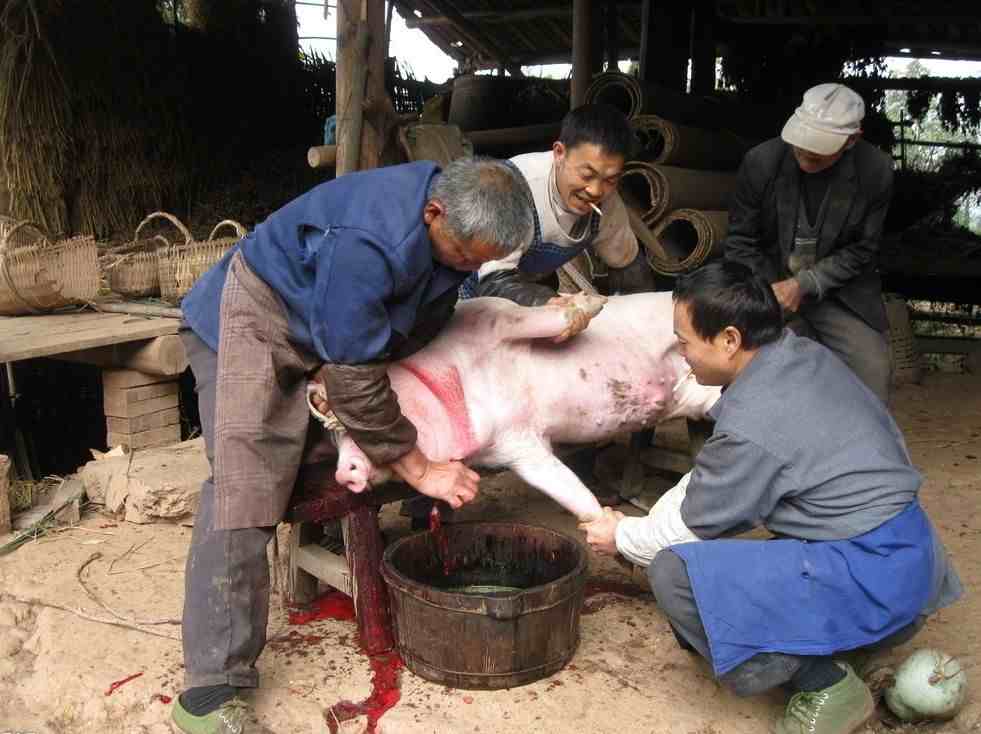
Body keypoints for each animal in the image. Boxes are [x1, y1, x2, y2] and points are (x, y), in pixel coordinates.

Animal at [314, 294, 720, 524]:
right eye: (334, 440)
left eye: (344, 430)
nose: (342, 473)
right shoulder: (518, 448)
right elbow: (567, 489)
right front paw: (605, 524)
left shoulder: (492, 316)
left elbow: (545, 318)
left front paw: (589, 301)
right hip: (696, 396)